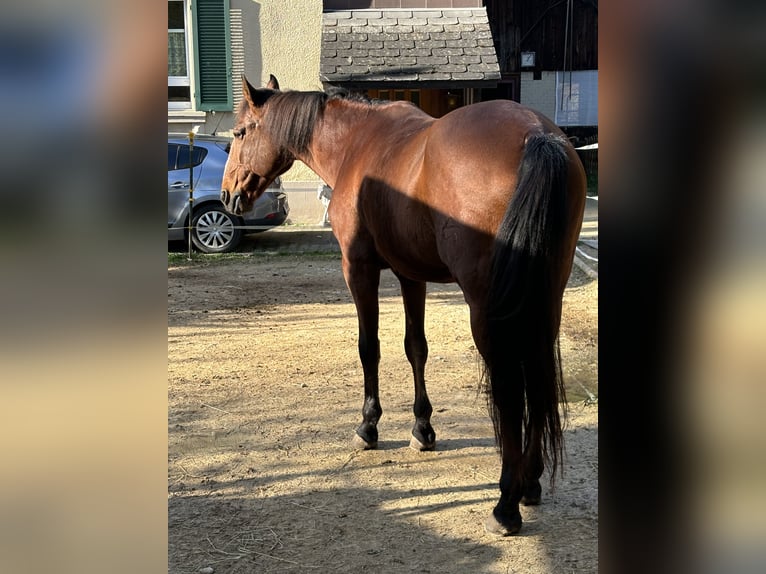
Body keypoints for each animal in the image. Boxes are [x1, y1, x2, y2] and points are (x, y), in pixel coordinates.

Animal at [222, 74, 588, 536]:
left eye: (239, 133)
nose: (227, 195)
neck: (356, 143)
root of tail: (536, 133)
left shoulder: (358, 268)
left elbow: (369, 348)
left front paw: (368, 426)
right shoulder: (411, 275)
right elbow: (416, 348)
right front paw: (422, 427)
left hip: (488, 307)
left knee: (509, 383)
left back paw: (506, 502)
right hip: (545, 298)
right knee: (537, 371)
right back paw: (533, 481)